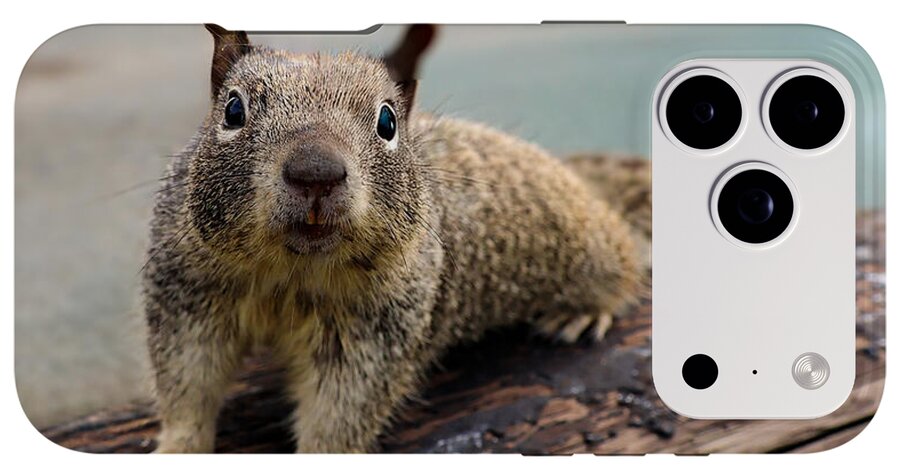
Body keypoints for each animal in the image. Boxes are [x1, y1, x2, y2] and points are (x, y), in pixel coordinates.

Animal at [144, 24, 647, 453]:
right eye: (233, 110)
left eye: (387, 122)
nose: (316, 173)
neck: (293, 272)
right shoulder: (188, 295)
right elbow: (187, 386)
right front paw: (177, 447)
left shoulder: (375, 332)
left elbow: (340, 413)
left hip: (589, 246)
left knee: (623, 258)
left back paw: (582, 311)